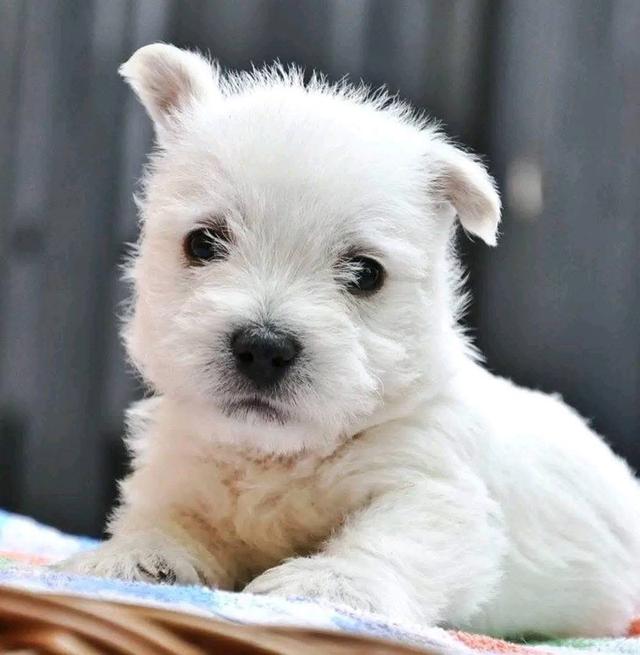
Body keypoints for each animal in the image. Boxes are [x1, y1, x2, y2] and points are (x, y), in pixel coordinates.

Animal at [62, 43, 640, 640]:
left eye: (365, 273)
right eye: (202, 243)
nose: (263, 347)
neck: (278, 454)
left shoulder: (431, 484)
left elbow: (393, 538)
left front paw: (324, 583)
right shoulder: (179, 476)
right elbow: (165, 519)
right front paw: (131, 557)